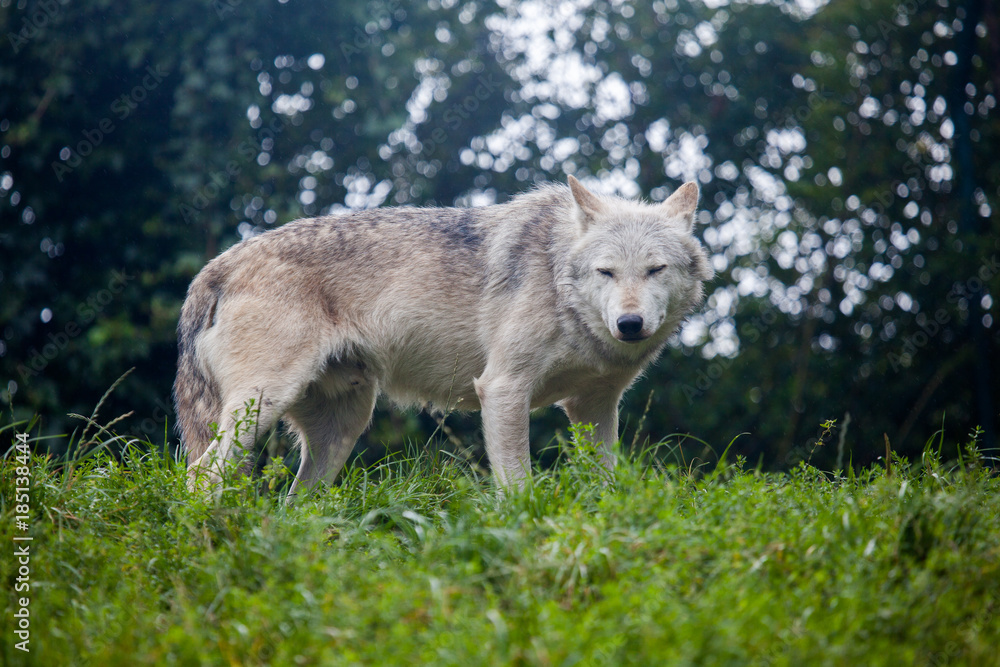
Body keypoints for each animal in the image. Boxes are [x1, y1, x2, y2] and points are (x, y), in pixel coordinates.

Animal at [174, 176, 713, 498]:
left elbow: (605, 481)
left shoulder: (594, 406)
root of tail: (215, 267)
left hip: (343, 427)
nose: (629, 324)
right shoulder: (502, 388)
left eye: (655, 270)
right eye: (606, 272)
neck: (559, 281)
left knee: (297, 501)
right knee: (200, 475)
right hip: (262, 405)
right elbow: (518, 485)